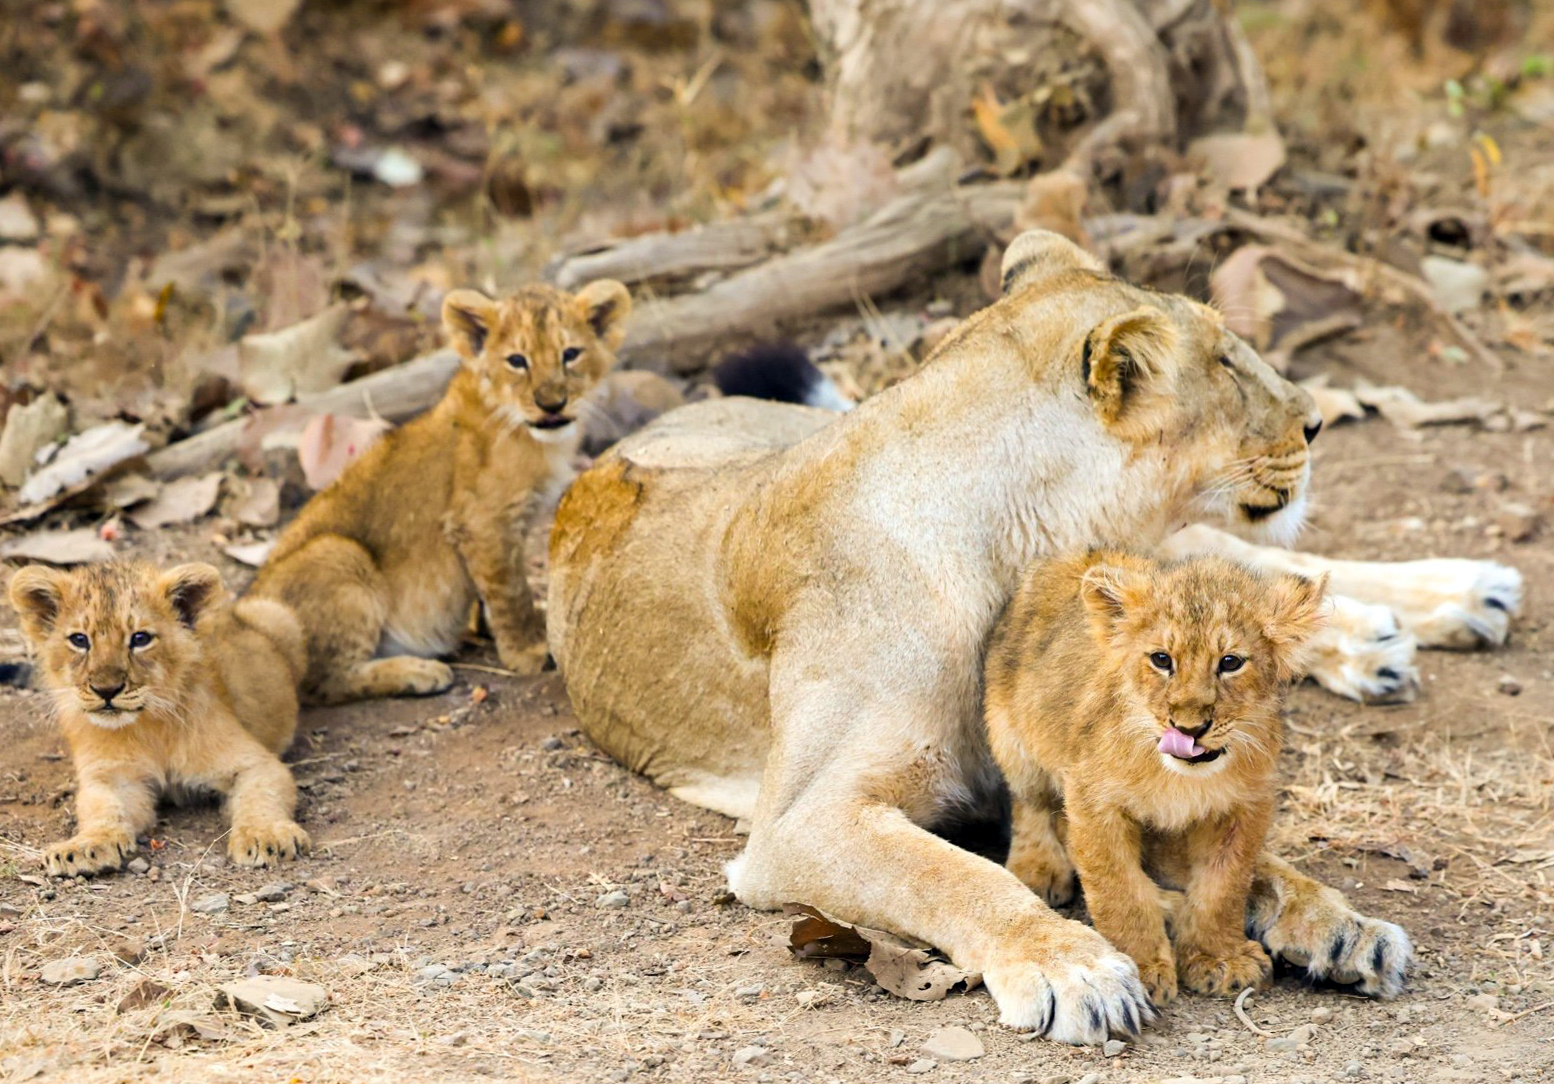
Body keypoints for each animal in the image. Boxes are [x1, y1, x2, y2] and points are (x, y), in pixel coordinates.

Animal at [9, 561, 310, 876]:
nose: (107, 690)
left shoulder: (256, 763)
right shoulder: (111, 776)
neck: (149, 726)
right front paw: (84, 846)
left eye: (140, 638)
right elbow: (102, 809)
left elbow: (261, 796)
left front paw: (266, 835)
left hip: (276, 614)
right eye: (79, 640)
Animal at [248, 280, 629, 704]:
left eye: (571, 354)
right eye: (517, 360)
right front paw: (527, 651)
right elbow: (511, 591)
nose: (552, 404)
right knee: (323, 683)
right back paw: (418, 672)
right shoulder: (482, 522)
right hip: (339, 553)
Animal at [985, 551, 1335, 1006]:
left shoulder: (1245, 805)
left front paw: (1218, 958)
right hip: (1014, 740)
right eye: (1162, 660)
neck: (1180, 777)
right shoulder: (1092, 799)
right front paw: (1141, 966)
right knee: (1031, 803)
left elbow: (1223, 887)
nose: (1189, 728)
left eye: (1230, 662)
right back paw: (1038, 870)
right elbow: (1117, 888)